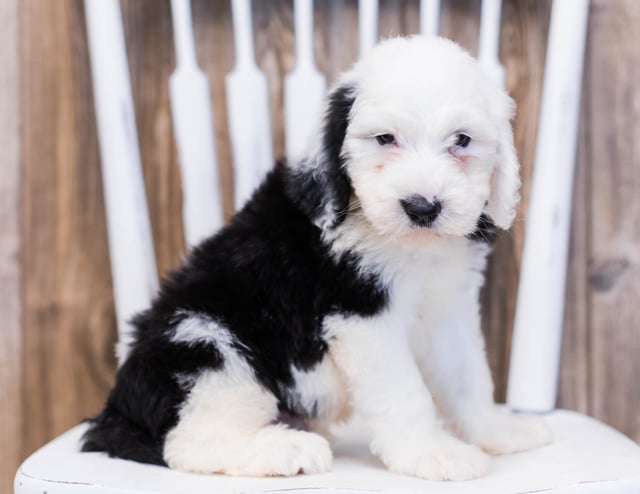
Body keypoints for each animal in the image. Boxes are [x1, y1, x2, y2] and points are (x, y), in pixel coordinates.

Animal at [81, 36, 552, 480]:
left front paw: (499, 431)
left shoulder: (448, 305)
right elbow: (405, 389)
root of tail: (116, 411)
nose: (422, 207)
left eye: (462, 140)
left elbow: (468, 374)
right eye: (385, 139)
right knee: (188, 440)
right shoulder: (360, 312)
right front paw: (432, 453)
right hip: (201, 341)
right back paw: (283, 449)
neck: (410, 245)